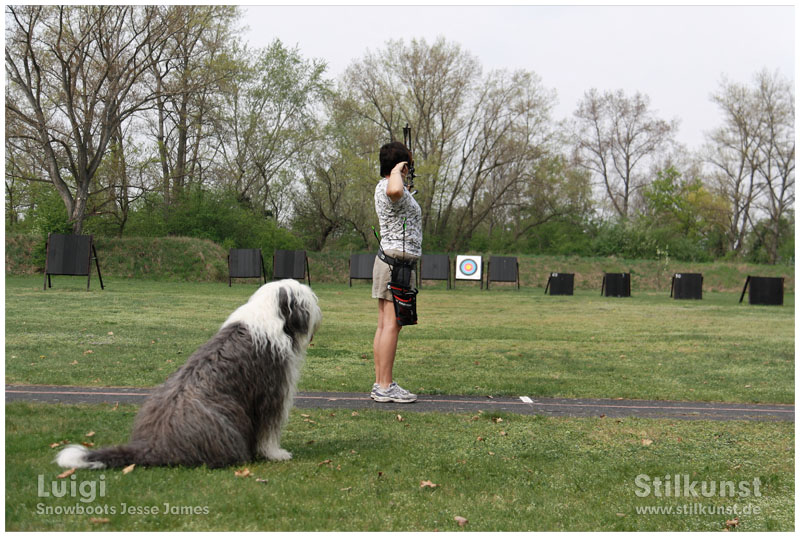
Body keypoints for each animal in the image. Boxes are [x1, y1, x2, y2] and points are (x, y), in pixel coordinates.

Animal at [53, 278, 324, 466]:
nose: (319, 314)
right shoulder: (272, 391)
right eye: (309, 299)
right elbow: (269, 429)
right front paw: (276, 453)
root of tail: (154, 444)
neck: (271, 316)